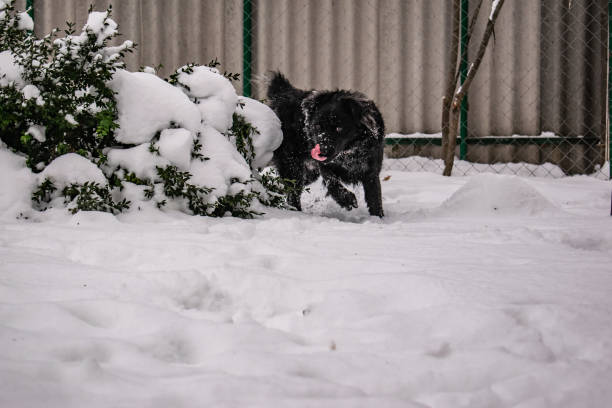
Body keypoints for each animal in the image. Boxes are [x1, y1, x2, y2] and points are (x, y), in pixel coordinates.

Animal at [266, 71, 382, 217]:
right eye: (317, 126)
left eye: (339, 128)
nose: (321, 152)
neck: (349, 152)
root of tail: (284, 94)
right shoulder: (324, 167)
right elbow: (331, 182)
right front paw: (346, 200)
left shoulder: (371, 171)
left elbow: (375, 198)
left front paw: (378, 218)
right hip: (292, 165)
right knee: (293, 193)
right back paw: (295, 212)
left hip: (308, 173)